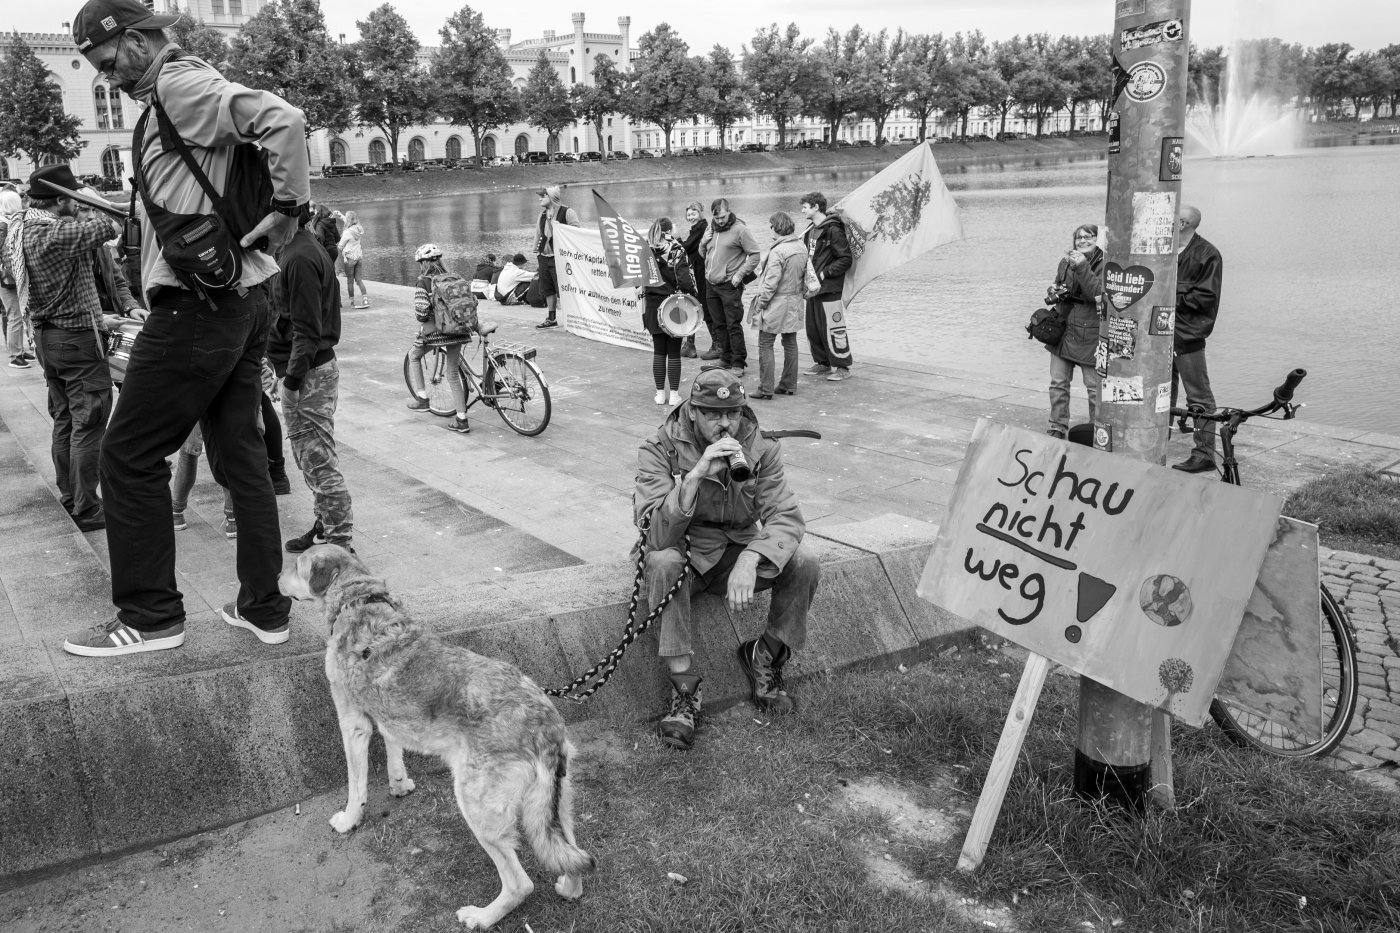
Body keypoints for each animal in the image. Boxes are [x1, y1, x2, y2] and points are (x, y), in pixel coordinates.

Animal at [281, 540, 593, 924]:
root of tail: (544, 723)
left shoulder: (353, 722)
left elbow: (356, 786)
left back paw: (482, 917)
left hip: (476, 806)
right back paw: (569, 887)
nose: (276, 579)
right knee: (572, 856)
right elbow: (394, 748)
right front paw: (400, 785)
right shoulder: (388, 715)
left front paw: (349, 820)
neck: (359, 600)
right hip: (555, 807)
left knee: (520, 884)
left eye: (295, 567)